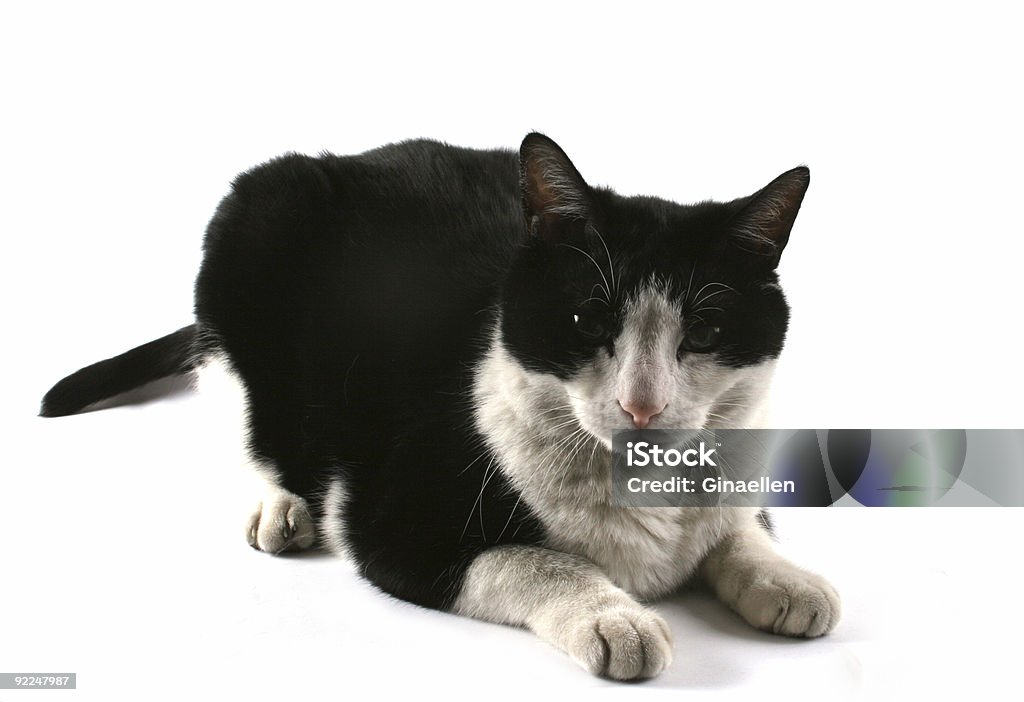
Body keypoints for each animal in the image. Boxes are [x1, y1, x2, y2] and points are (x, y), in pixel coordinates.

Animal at [39, 133, 839, 683]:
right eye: (588, 323)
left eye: (702, 334)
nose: (641, 407)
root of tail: (353, 159)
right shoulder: (391, 527)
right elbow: (531, 560)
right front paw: (613, 614)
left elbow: (738, 528)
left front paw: (786, 578)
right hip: (255, 221)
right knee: (236, 405)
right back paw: (278, 503)